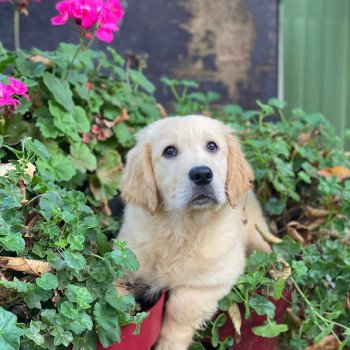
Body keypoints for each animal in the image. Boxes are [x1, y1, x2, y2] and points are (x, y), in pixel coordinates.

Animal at [119, 116, 272, 348]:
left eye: (212, 146)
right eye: (169, 151)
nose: (202, 174)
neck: (182, 229)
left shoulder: (214, 278)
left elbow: (182, 308)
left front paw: (169, 345)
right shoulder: (128, 259)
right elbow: (113, 294)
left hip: (256, 231)